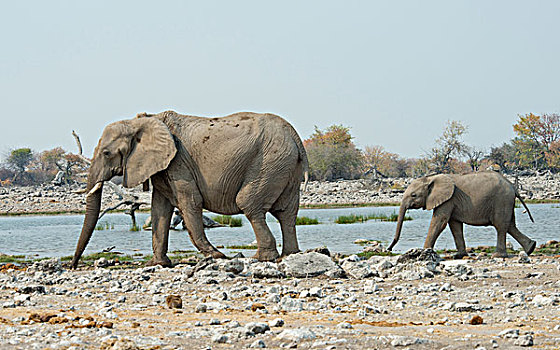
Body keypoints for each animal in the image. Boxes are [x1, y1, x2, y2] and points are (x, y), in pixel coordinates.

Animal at [70, 110, 308, 266]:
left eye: (106, 153)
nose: (72, 265)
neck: (144, 121)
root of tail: (296, 138)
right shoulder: (163, 166)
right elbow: (160, 209)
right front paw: (159, 264)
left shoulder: (178, 161)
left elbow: (190, 201)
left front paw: (217, 257)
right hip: (285, 166)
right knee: (286, 212)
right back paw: (289, 255)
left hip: (269, 162)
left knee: (248, 204)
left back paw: (261, 258)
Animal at [390, 171, 540, 258]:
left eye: (413, 195)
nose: (389, 249)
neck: (431, 178)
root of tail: (512, 186)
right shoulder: (451, 201)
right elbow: (454, 225)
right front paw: (459, 255)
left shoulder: (448, 199)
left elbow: (440, 222)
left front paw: (424, 251)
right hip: (506, 201)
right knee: (510, 225)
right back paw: (530, 248)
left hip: (501, 200)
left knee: (500, 225)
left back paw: (498, 255)